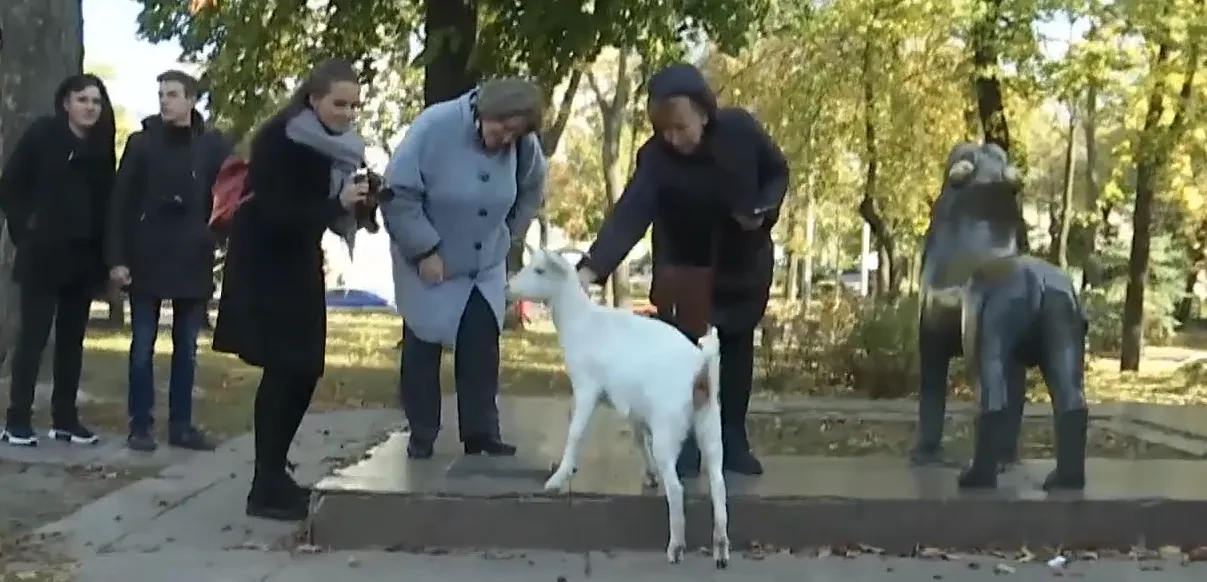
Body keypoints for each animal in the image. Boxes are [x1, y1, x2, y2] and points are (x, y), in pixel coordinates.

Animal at [506, 247, 730, 568]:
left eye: (540, 270)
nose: (508, 287)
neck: (582, 323)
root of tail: (701, 367)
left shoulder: (587, 387)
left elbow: (575, 432)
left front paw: (558, 478)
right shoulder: (634, 407)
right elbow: (638, 438)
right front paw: (649, 475)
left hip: (669, 427)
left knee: (677, 489)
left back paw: (676, 547)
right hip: (710, 423)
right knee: (718, 482)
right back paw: (721, 549)